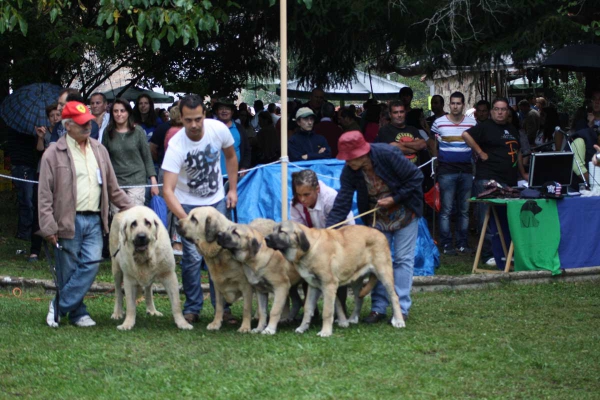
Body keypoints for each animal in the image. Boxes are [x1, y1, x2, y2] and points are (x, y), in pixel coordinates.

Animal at [264, 222, 406, 338]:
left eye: (281, 231)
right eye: (273, 229)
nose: (265, 239)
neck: (310, 249)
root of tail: (381, 233)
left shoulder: (328, 285)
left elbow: (327, 311)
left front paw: (326, 332)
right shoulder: (313, 286)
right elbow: (308, 309)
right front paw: (302, 328)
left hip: (384, 273)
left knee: (394, 296)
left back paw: (399, 321)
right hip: (356, 280)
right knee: (359, 298)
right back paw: (352, 319)